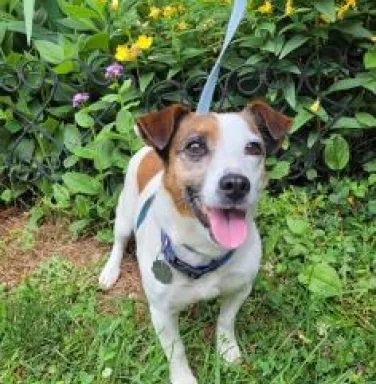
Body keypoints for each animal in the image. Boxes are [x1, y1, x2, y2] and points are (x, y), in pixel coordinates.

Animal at [99, 103, 290, 384]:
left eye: (254, 147)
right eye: (195, 146)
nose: (236, 184)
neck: (205, 251)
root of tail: (149, 150)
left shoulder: (239, 289)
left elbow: (225, 322)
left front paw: (228, 350)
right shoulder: (162, 313)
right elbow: (176, 351)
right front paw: (183, 378)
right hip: (124, 215)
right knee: (119, 243)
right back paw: (110, 271)